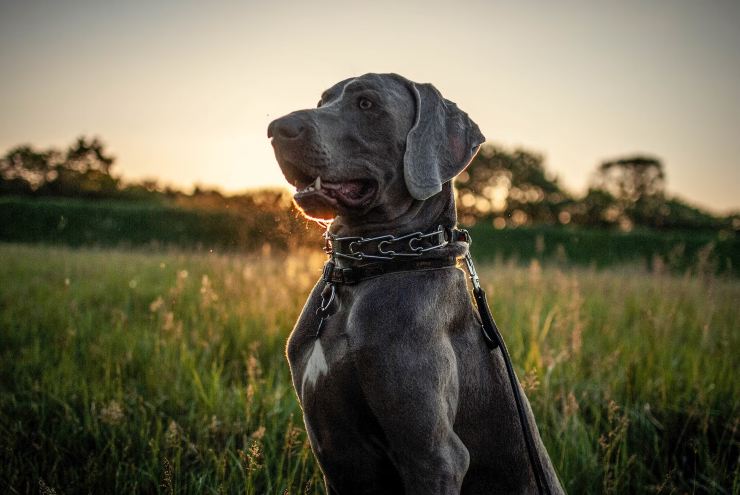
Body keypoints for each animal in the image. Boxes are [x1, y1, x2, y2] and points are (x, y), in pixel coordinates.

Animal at [268, 73, 564, 495]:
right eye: (323, 101)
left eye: (367, 104)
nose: (277, 128)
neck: (366, 272)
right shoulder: (333, 447)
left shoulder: (434, 455)